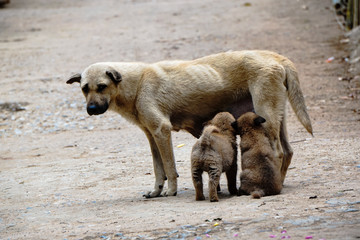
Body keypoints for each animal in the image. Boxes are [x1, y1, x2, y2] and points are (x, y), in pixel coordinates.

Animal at [65, 49, 312, 198]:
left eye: (102, 86)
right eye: (85, 88)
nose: (91, 110)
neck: (136, 83)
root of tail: (277, 57)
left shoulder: (161, 131)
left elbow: (169, 168)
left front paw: (170, 191)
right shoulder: (151, 136)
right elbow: (158, 169)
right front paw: (156, 191)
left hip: (266, 116)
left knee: (278, 152)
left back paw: (274, 185)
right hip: (276, 119)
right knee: (288, 151)